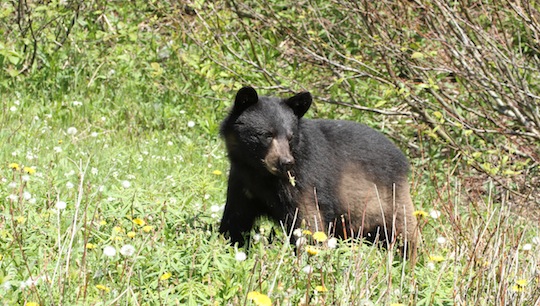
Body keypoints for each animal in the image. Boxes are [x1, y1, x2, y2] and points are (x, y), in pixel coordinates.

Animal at [219, 86, 418, 258]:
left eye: (290, 137)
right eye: (267, 134)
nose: (286, 162)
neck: (261, 173)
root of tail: (401, 156)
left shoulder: (303, 182)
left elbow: (308, 221)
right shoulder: (242, 183)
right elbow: (235, 219)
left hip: (390, 199)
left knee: (405, 233)